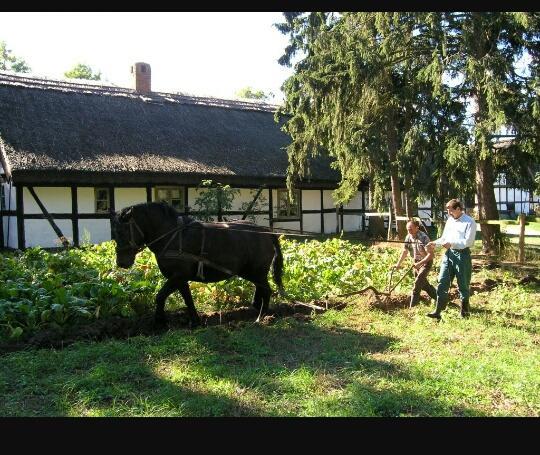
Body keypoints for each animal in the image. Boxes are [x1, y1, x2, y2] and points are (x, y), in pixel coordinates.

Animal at [110, 201, 286, 326]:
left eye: (121, 231)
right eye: (114, 232)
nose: (121, 262)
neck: (174, 236)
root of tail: (266, 232)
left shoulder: (177, 276)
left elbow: (160, 296)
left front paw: (159, 321)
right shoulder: (180, 279)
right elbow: (187, 298)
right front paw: (195, 320)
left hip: (257, 271)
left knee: (266, 290)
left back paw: (262, 317)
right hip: (251, 271)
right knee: (260, 288)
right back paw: (255, 308)